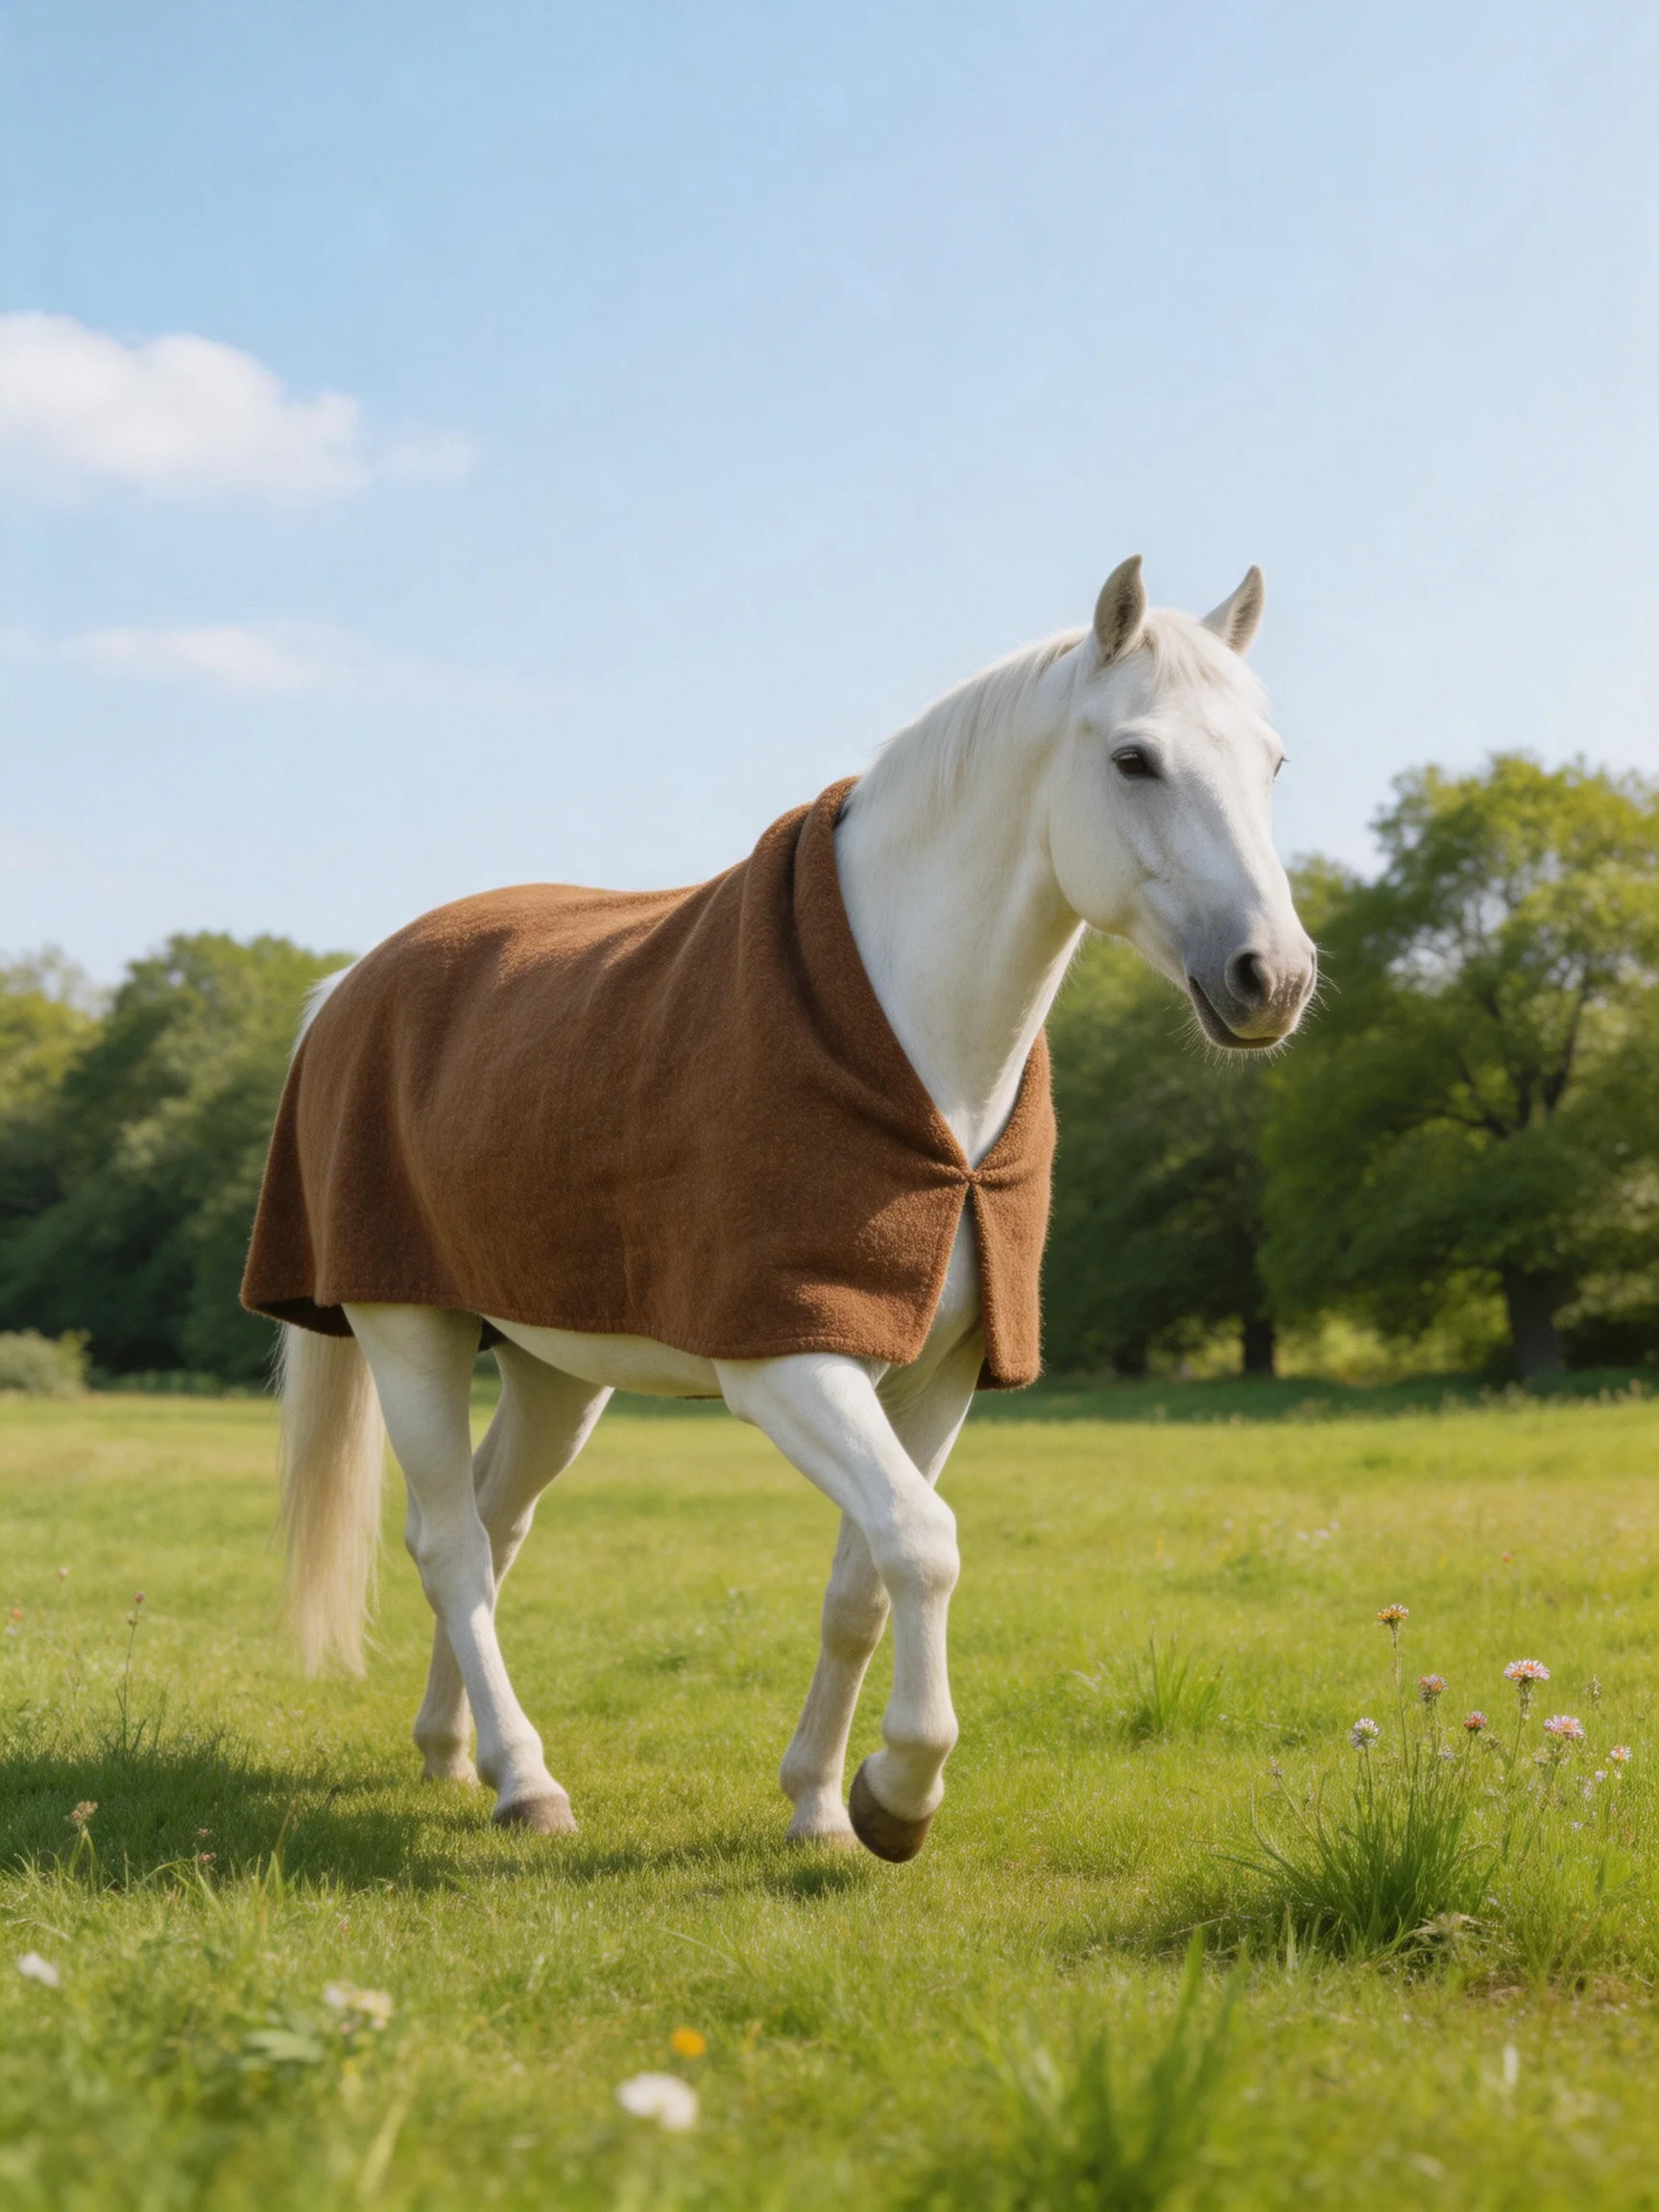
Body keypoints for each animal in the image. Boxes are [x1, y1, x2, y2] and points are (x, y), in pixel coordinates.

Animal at [260, 555, 1316, 1861]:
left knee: (496, 1532)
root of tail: (349, 990)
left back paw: (459, 1753)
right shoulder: (792, 1364)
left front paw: (820, 1804)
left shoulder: (936, 1377)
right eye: (1134, 759)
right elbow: (924, 1543)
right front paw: (900, 1791)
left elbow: (864, 1582)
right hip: (409, 1332)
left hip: (555, 1367)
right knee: (451, 1548)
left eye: (1272, 762)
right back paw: (529, 1780)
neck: (923, 1066)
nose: (1274, 978)